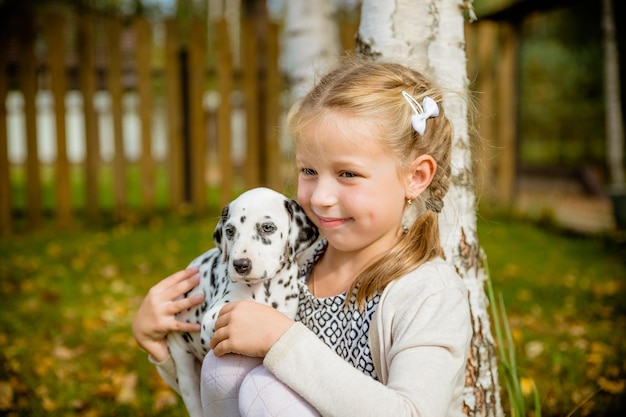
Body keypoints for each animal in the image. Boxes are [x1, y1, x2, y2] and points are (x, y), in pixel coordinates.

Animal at [165, 188, 316, 416]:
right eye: (230, 231)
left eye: (268, 227)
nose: (240, 265)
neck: (265, 289)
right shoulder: (213, 317)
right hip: (184, 366)